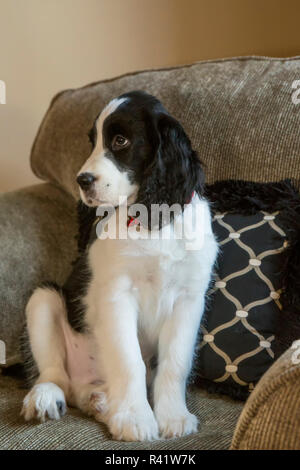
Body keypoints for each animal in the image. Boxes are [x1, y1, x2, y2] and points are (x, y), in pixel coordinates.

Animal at [21, 91, 218, 440]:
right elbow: (130, 360)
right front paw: (135, 419)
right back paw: (46, 397)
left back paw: (101, 402)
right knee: (55, 374)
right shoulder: (117, 293)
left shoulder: (189, 298)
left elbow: (175, 362)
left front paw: (174, 417)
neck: (152, 220)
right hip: (43, 299)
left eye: (120, 140)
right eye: (92, 141)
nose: (82, 180)